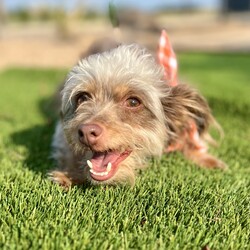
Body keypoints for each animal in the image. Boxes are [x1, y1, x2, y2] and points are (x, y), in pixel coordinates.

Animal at [49, 42, 227, 188]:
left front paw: (208, 160)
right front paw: (69, 175)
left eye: (134, 102)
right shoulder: (62, 131)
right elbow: (68, 150)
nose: (86, 132)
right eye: (82, 97)